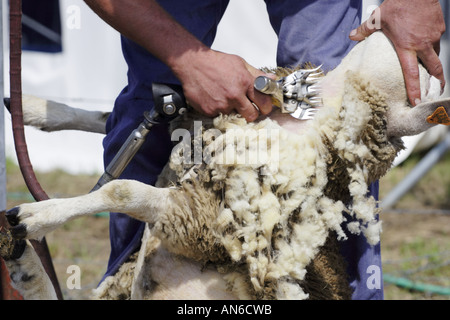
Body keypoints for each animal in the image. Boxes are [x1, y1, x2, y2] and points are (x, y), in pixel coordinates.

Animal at [0, 30, 450, 300]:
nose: (427, 39)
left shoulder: (200, 218)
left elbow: (120, 188)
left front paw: (36, 216)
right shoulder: (192, 123)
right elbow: (107, 122)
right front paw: (34, 107)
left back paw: (23, 251)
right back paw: (26, 264)